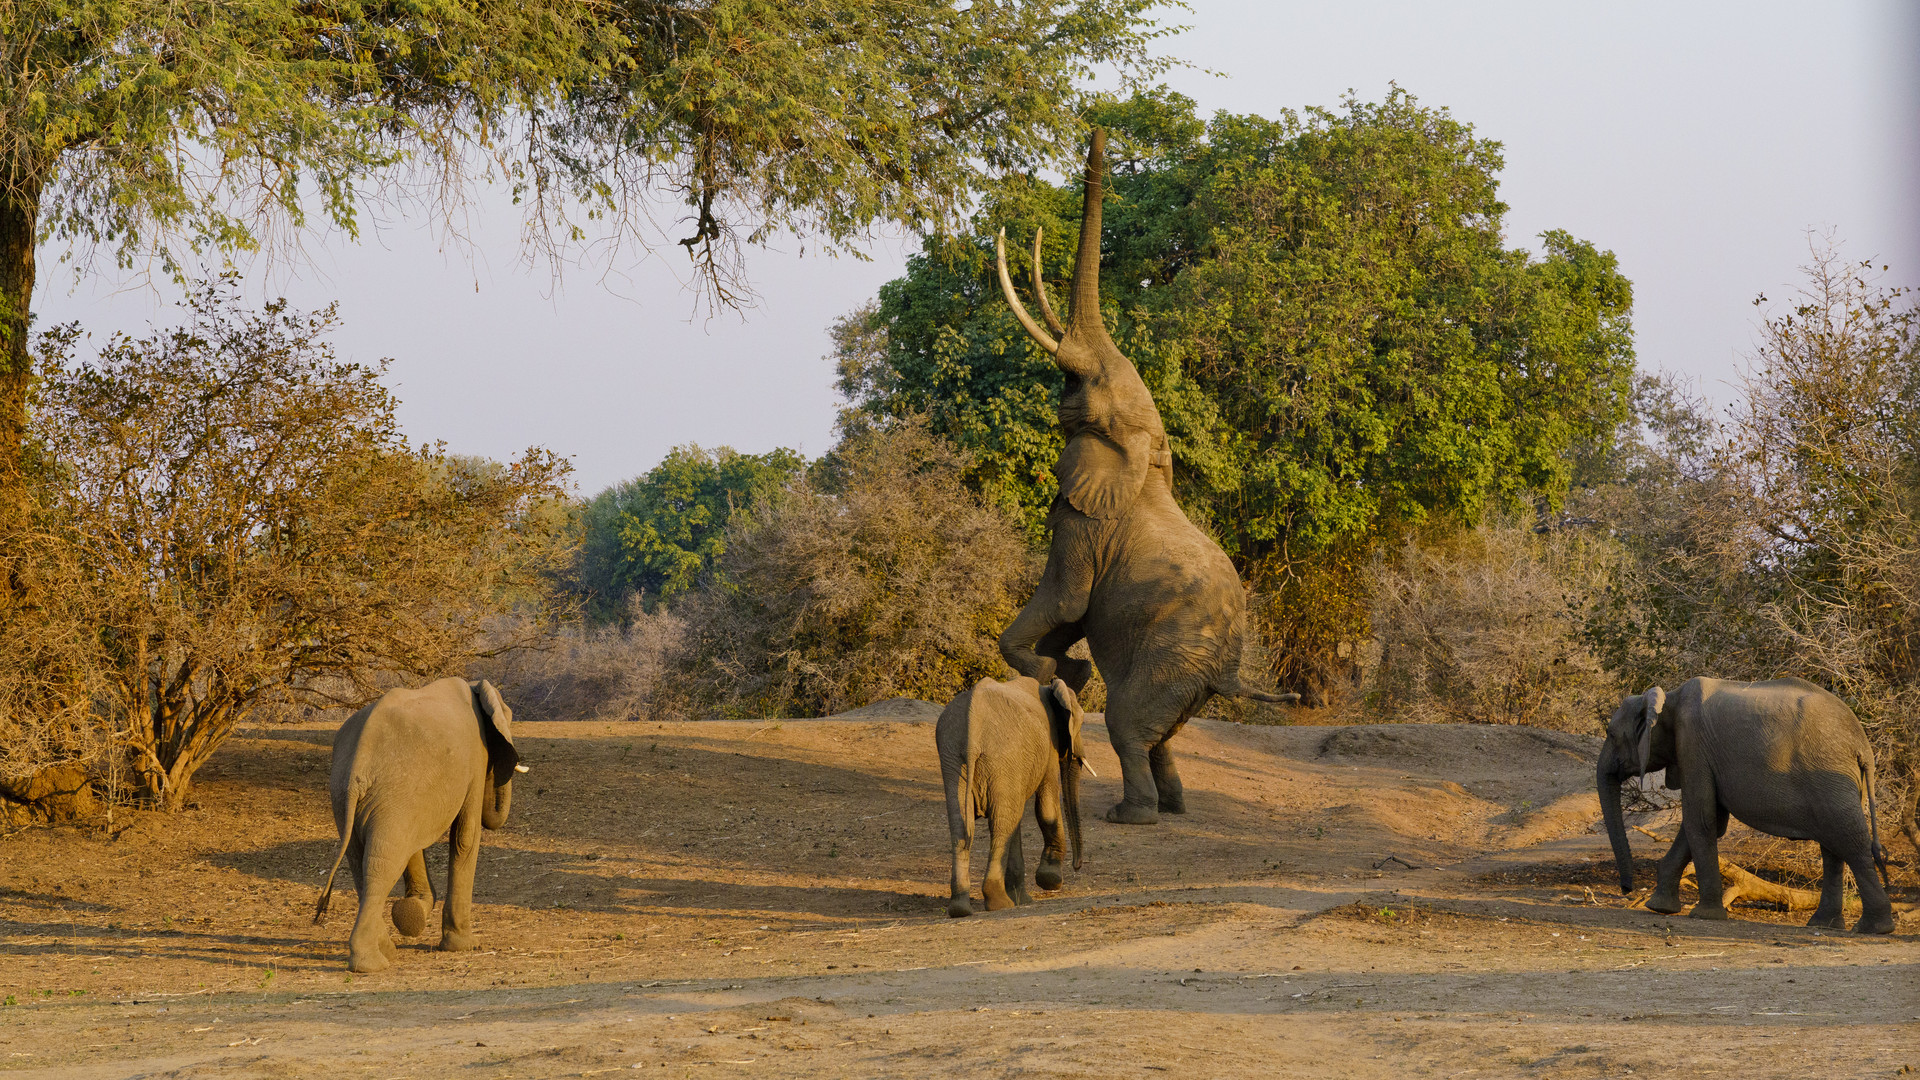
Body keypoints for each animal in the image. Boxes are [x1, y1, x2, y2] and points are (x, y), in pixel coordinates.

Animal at [314, 672, 526, 968]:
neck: (475, 687)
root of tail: (360, 758)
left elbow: (416, 843)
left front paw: (413, 912)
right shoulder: (475, 757)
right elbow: (466, 836)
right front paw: (465, 946)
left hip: (344, 796)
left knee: (362, 861)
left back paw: (387, 949)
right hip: (390, 790)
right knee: (383, 863)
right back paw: (372, 964)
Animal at [936, 672, 1090, 914]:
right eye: (1081, 722)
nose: (1077, 866)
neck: (1049, 688)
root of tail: (973, 723)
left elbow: (1015, 817)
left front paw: (1024, 899)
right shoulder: (1049, 744)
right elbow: (1046, 807)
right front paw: (1050, 881)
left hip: (953, 757)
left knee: (965, 825)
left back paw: (961, 909)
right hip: (1000, 755)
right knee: (1001, 824)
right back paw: (999, 903)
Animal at [998, 127, 1297, 822]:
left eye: (1082, 383)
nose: (1097, 132)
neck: (1147, 458)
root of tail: (1222, 671)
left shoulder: (1083, 523)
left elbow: (1066, 600)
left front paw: (1062, 673)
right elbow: (1068, 614)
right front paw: (1065, 669)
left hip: (1173, 656)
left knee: (1129, 723)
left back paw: (1130, 814)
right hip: (1185, 675)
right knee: (1162, 734)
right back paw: (1174, 808)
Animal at [1597, 672, 1896, 933]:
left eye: (1610, 734)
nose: (1626, 890)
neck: (1666, 699)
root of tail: (1863, 745)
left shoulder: (1693, 745)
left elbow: (1700, 820)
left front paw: (1704, 915)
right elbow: (1712, 822)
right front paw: (1659, 908)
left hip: (1829, 777)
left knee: (1849, 841)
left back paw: (1873, 929)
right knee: (1833, 846)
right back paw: (1825, 925)